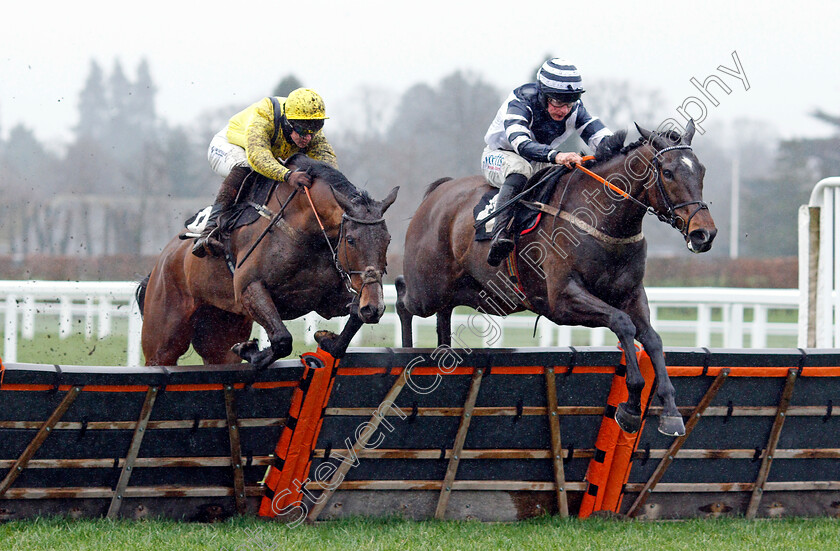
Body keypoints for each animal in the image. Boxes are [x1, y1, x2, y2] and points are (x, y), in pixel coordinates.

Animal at [138, 154, 400, 370]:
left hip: (220, 330)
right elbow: (282, 340)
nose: (375, 307)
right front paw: (250, 350)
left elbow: (354, 316)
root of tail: (163, 258)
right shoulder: (249, 288)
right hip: (162, 340)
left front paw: (327, 338)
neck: (305, 229)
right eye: (351, 240)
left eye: (387, 240)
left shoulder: (325, 299)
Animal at [394, 123, 716, 438]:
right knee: (402, 296)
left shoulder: (631, 294)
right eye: (668, 172)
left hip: (468, 292)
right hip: (427, 288)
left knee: (443, 314)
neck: (603, 221)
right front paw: (631, 405)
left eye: (701, 170)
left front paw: (670, 412)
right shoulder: (562, 300)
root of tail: (437, 192)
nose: (704, 234)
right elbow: (622, 323)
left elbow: (652, 338)